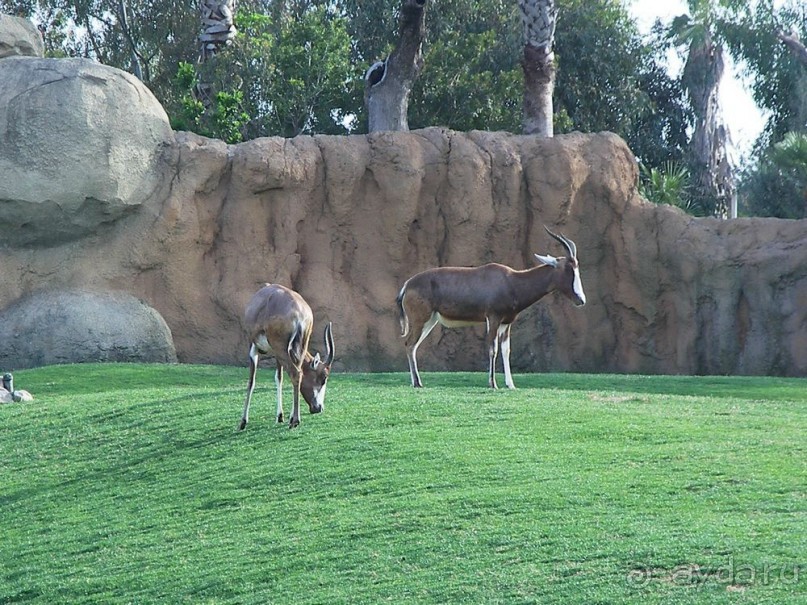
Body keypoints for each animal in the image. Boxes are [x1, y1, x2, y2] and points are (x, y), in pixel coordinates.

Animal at [237, 284, 334, 430]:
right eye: (323, 378)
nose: (318, 408)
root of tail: (299, 314)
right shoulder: (277, 354)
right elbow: (279, 378)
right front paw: (280, 416)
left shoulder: (253, 346)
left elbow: (251, 381)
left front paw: (243, 422)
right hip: (296, 347)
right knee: (298, 373)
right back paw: (293, 418)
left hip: (281, 348)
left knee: (295, 373)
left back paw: (295, 421)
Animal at [398, 225, 588, 386]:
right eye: (568, 269)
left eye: (576, 268)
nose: (581, 300)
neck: (511, 280)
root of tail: (407, 285)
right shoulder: (493, 318)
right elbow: (492, 349)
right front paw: (493, 384)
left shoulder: (506, 323)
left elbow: (506, 350)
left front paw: (510, 385)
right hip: (421, 320)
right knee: (409, 344)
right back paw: (417, 384)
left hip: (430, 321)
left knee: (413, 346)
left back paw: (416, 382)